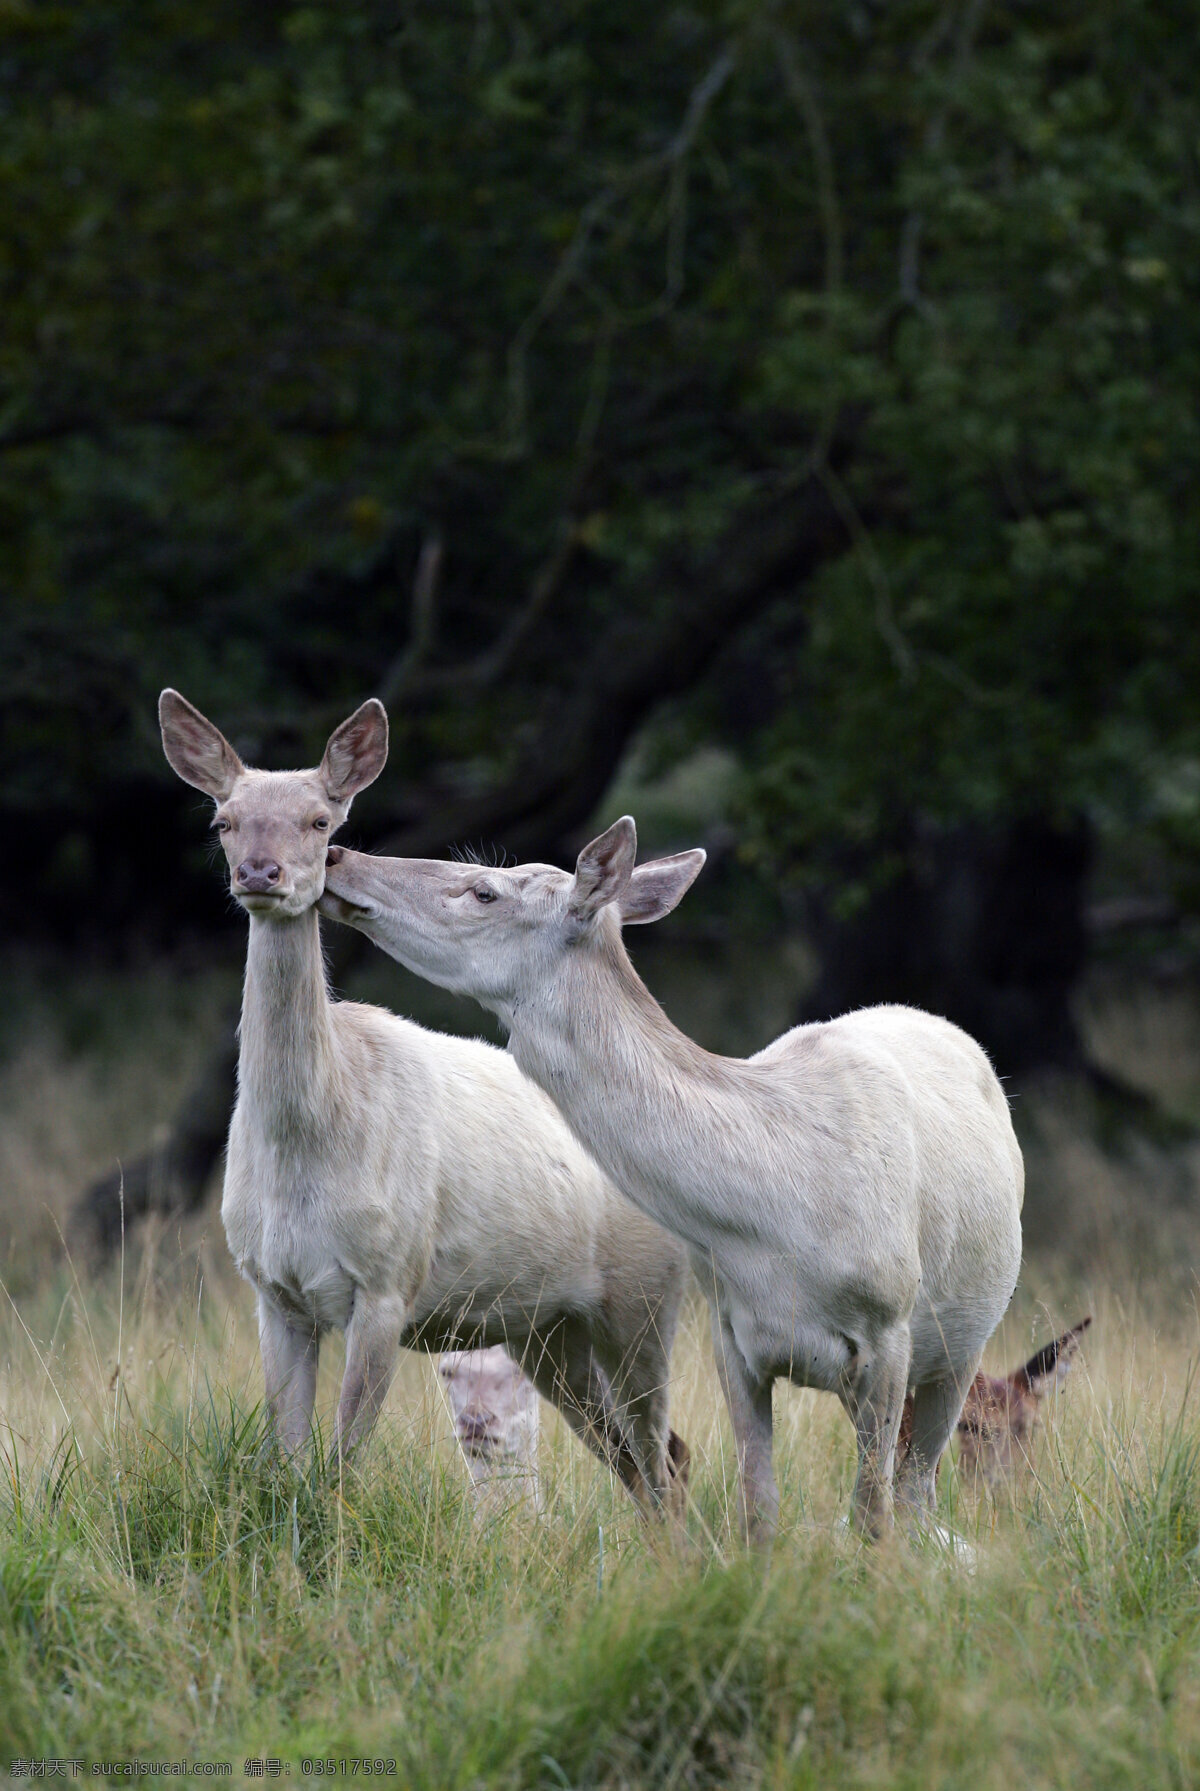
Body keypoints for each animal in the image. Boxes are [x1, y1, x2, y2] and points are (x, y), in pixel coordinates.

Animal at [154, 687, 691, 1511]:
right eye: (224, 821)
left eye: (322, 820)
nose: (261, 872)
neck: (304, 1147)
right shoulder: (270, 1289)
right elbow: (288, 1462)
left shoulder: (386, 1279)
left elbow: (340, 1464)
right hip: (548, 1329)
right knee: (645, 1456)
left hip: (644, 1295)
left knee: (660, 1457)